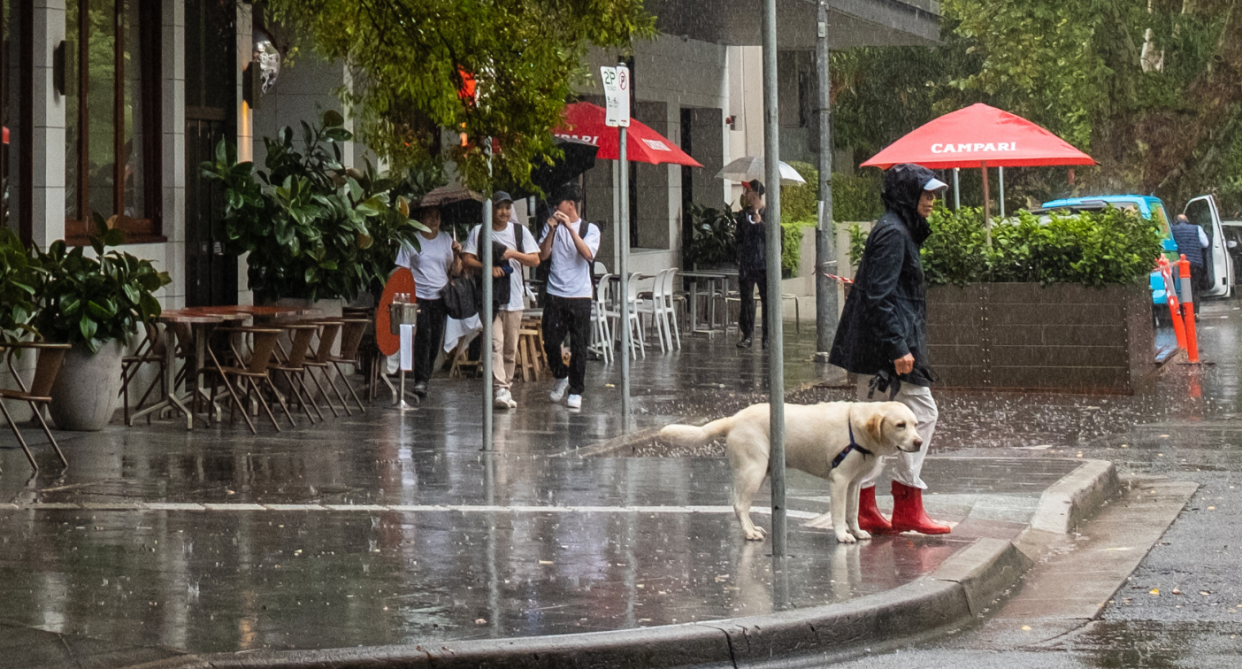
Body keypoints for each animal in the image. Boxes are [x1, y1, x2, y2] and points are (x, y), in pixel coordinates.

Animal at [660, 402, 924, 543]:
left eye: (916, 424)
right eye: (900, 425)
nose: (919, 442)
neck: (861, 433)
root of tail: (733, 419)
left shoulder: (855, 483)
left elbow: (852, 512)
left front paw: (857, 532)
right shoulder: (839, 481)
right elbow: (839, 514)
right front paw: (842, 536)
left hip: (759, 472)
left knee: (740, 504)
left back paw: (753, 529)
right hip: (753, 471)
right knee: (739, 505)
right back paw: (749, 532)